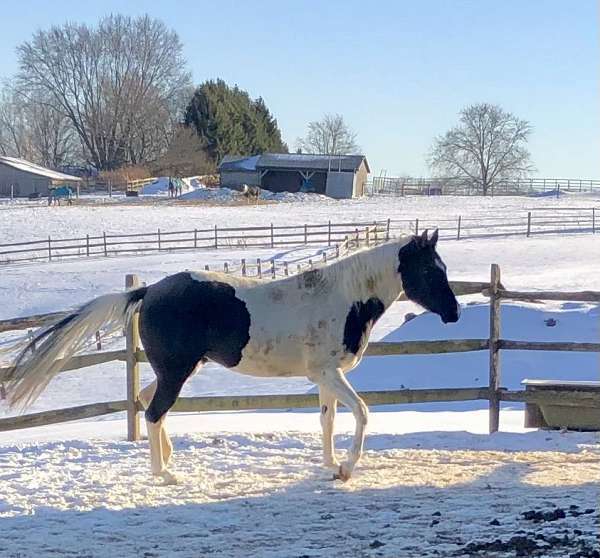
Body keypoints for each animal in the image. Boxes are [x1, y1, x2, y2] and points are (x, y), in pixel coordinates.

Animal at [7, 231, 460, 486]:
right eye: (430, 270)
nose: (454, 313)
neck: (344, 298)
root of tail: (148, 290)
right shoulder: (329, 374)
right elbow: (363, 412)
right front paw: (347, 469)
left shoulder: (323, 378)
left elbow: (328, 420)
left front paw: (330, 465)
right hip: (176, 372)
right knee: (153, 411)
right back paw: (164, 474)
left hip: (177, 370)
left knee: (148, 403)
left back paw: (168, 458)